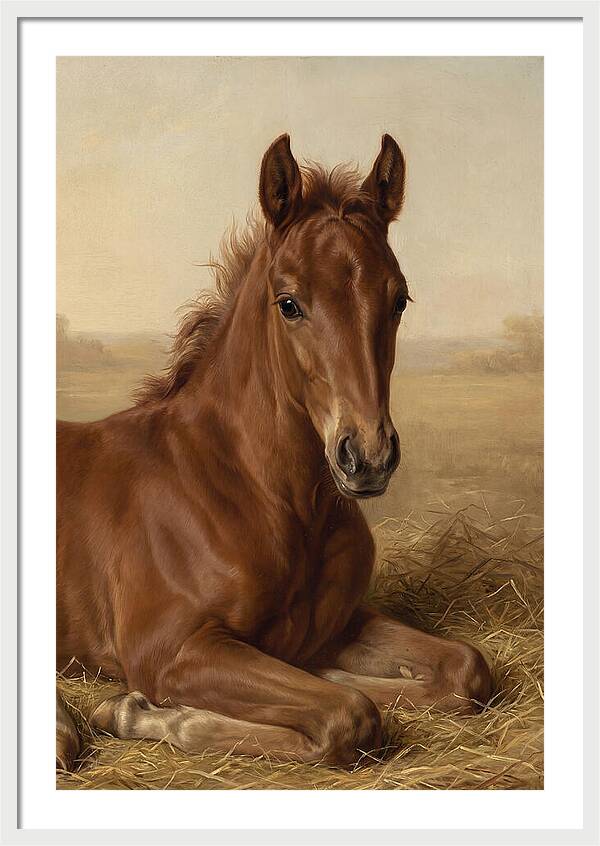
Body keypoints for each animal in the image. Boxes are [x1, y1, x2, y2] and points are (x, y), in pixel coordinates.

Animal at [56, 133, 492, 771]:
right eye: (288, 303)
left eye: (400, 300)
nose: (368, 456)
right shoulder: (170, 650)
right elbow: (349, 714)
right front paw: (136, 712)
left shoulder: (338, 623)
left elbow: (464, 669)